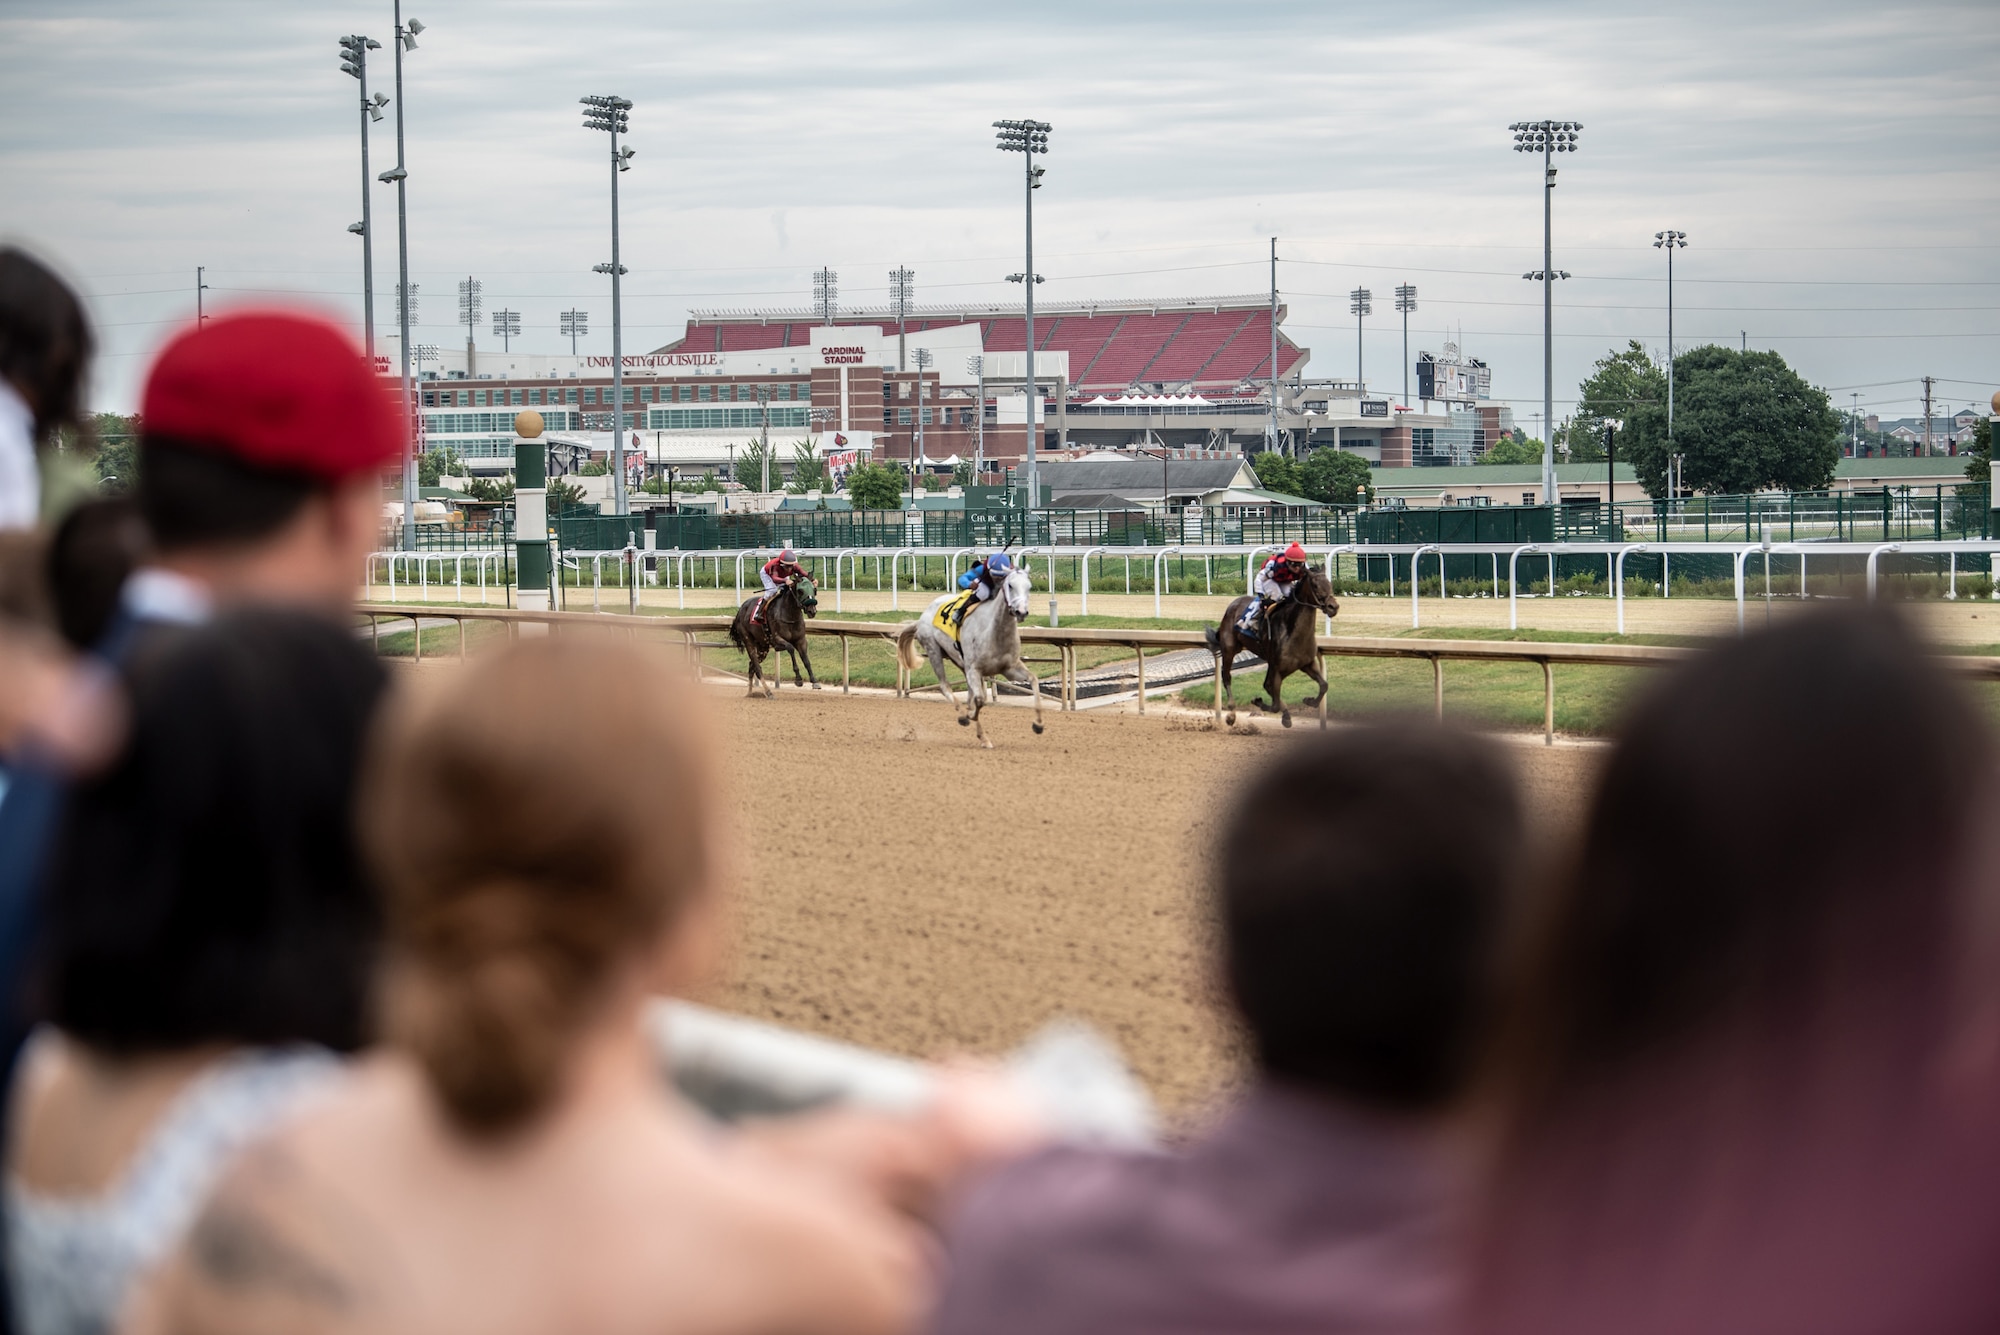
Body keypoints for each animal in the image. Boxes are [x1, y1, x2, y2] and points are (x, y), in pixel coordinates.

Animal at [896, 567, 1048, 747]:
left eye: (1029, 587)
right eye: (1010, 585)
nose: (1021, 612)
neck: (994, 632)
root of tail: (921, 617)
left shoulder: (1009, 668)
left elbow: (1033, 679)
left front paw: (1038, 724)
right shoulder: (974, 669)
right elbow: (980, 700)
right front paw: (969, 717)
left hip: (958, 661)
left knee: (968, 692)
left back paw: (979, 731)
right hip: (934, 650)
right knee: (945, 686)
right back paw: (964, 716)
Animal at [1200, 563, 1344, 731]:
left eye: (1329, 583)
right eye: (1315, 585)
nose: (1333, 607)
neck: (1293, 632)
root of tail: (1232, 605)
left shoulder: (1306, 663)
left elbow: (1324, 685)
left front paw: (1309, 701)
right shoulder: (1276, 669)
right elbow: (1273, 701)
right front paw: (1261, 703)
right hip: (1229, 649)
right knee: (1227, 677)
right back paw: (1231, 715)